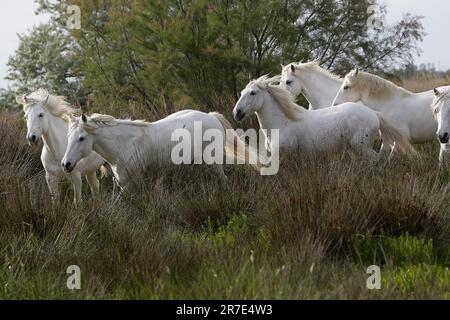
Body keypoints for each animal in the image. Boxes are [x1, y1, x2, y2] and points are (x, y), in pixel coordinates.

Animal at [62, 111, 260, 189]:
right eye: (68, 137)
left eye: (81, 138)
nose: (66, 164)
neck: (124, 145)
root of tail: (211, 117)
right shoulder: (124, 185)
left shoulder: (133, 184)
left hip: (213, 162)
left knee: (223, 180)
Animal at [234, 74, 414, 160]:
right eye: (242, 92)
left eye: (253, 92)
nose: (237, 113)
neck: (282, 123)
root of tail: (374, 113)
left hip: (361, 147)